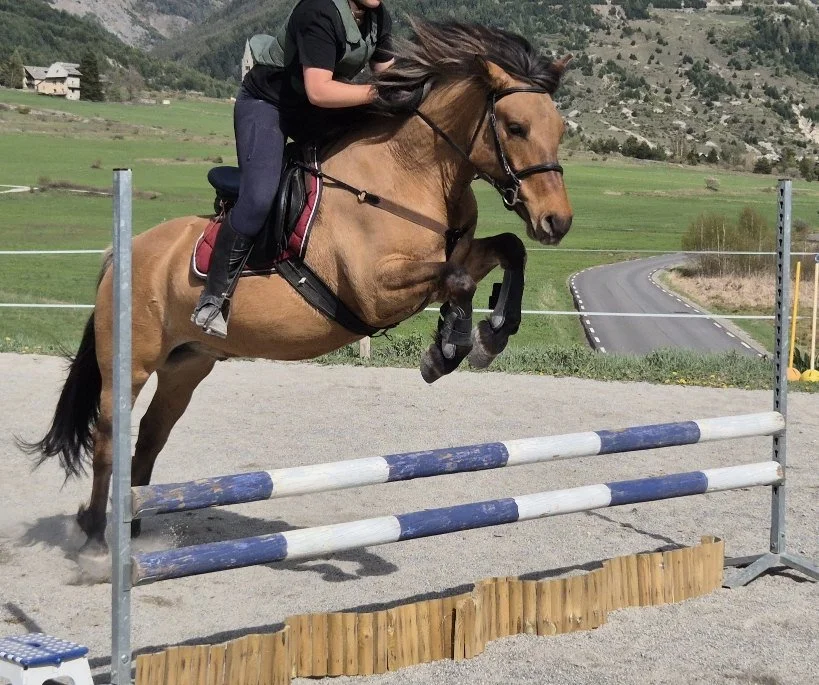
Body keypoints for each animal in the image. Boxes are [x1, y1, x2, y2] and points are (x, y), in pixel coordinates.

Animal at [27, 20, 573, 559]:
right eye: (516, 127)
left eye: (559, 129)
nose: (557, 221)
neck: (412, 175)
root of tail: (124, 252)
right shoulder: (375, 291)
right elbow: (457, 281)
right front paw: (449, 348)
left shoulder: (455, 255)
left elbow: (507, 252)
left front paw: (490, 334)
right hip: (130, 364)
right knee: (107, 439)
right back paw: (96, 535)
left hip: (187, 365)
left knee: (148, 439)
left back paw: (137, 526)